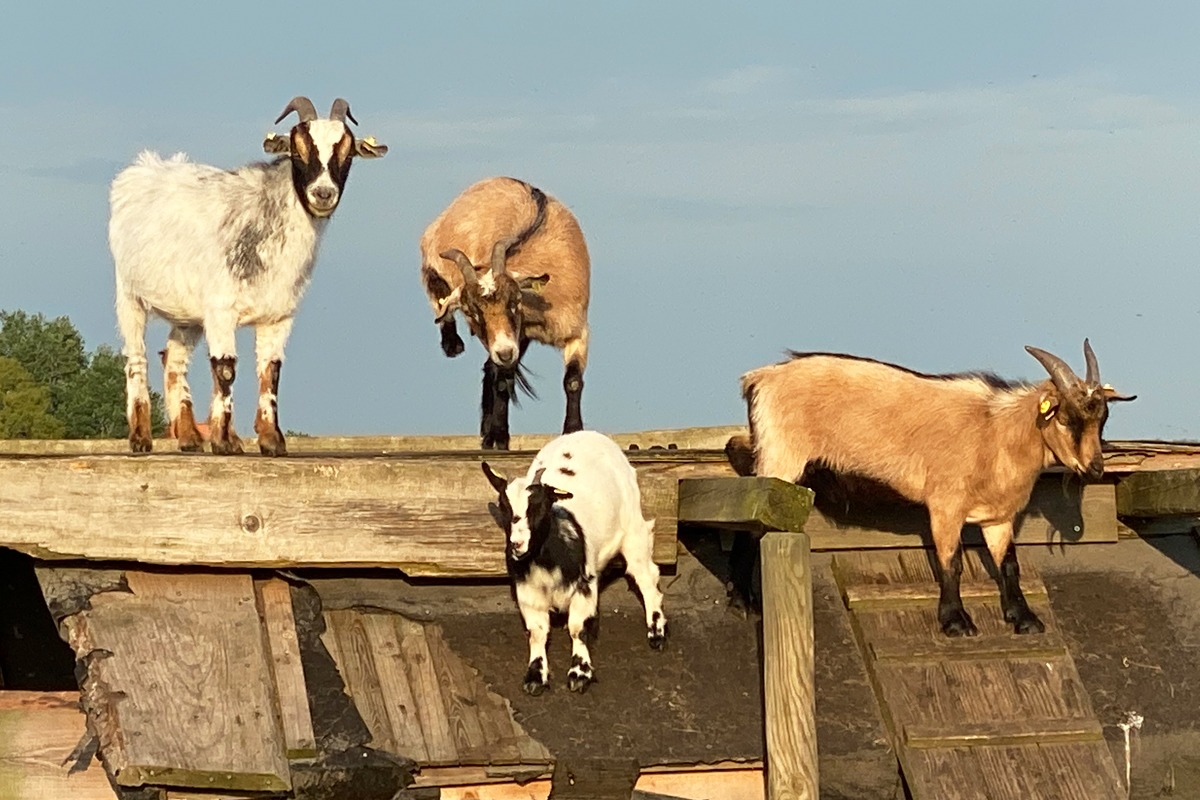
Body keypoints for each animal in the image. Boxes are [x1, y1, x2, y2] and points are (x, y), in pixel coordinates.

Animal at [109, 96, 387, 456]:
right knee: (136, 358)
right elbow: (225, 369)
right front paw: (223, 441)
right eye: (298, 150)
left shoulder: (279, 316)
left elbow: (271, 372)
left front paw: (270, 440)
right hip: (129, 294)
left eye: (347, 152)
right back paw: (141, 438)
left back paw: (189, 437)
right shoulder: (220, 310)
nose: (323, 193)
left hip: (187, 315)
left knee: (173, 358)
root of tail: (144, 168)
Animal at [420, 177, 590, 449]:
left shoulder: (577, 331)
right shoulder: (505, 339)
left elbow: (572, 381)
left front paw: (573, 432)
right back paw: (452, 344)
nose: (505, 351)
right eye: (472, 311)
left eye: (514, 301)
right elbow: (502, 379)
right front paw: (498, 437)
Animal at [481, 430, 667, 694]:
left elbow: (578, 627)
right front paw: (535, 676)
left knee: (646, 576)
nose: (517, 544)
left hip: (633, 529)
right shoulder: (527, 591)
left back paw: (656, 631)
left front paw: (580, 673)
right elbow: (537, 632)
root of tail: (588, 434)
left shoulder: (585, 584)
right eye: (504, 507)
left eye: (539, 505)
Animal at [737, 341, 1133, 636]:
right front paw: (956, 622)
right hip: (780, 461)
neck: (996, 434)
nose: (1095, 468)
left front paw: (1024, 619)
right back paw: (744, 602)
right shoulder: (945, 506)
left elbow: (1008, 564)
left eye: (1102, 420)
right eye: (1065, 418)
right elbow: (951, 562)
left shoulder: (999, 518)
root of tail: (759, 378)